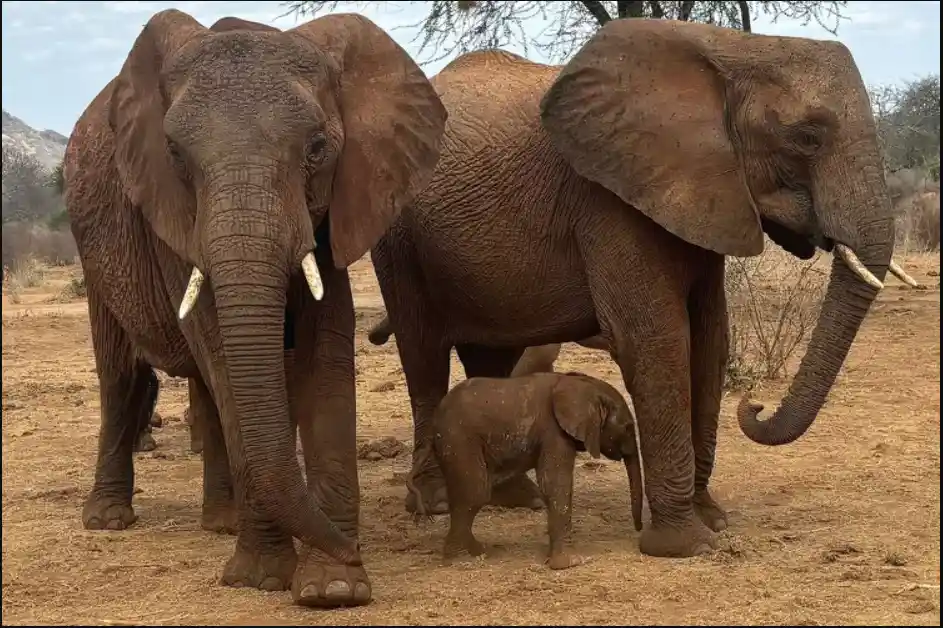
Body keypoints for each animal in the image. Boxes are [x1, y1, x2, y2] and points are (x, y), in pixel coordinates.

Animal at [63, 10, 446, 608]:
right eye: (175, 154)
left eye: (317, 148)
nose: (354, 547)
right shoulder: (172, 214)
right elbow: (222, 348)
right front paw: (264, 578)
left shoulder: (336, 202)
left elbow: (322, 352)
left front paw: (334, 587)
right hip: (93, 248)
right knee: (123, 376)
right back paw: (108, 520)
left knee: (203, 386)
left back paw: (220, 523)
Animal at [407, 371, 644, 570]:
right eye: (628, 427)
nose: (638, 528)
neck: (580, 384)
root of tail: (432, 430)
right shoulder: (554, 431)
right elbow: (555, 485)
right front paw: (570, 563)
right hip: (459, 439)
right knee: (475, 493)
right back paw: (464, 559)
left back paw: (478, 552)